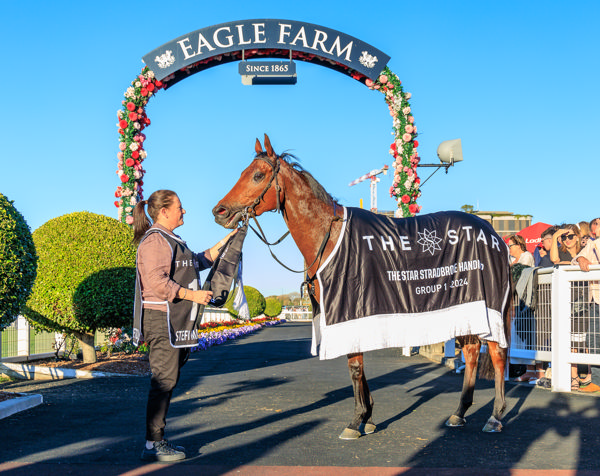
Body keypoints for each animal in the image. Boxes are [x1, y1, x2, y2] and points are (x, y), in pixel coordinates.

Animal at [211, 134, 510, 438]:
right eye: (244, 172)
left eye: (258, 175)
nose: (219, 211)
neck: (329, 236)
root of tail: (494, 234)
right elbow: (358, 366)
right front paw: (368, 416)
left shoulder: (348, 308)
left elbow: (354, 365)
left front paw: (356, 421)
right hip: (466, 306)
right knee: (472, 352)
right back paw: (459, 412)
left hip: (491, 306)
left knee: (497, 354)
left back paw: (495, 416)